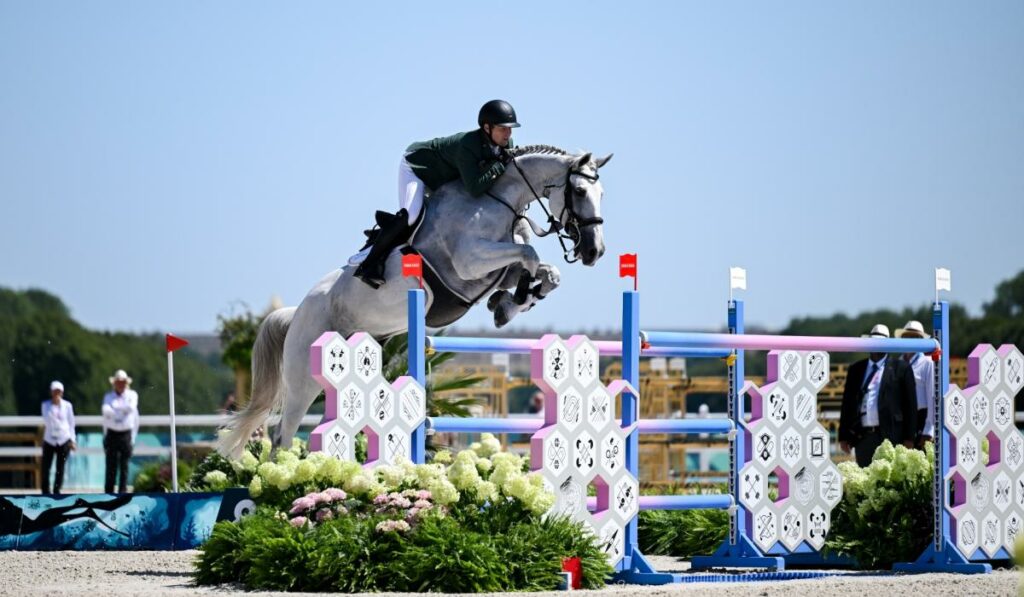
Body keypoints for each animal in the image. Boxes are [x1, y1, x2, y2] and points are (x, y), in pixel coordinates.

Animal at [218, 144, 606, 458]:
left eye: (602, 192)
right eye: (579, 190)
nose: (594, 252)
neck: (497, 201)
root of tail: (295, 313)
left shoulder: (492, 270)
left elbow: (545, 270)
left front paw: (509, 304)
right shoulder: (468, 264)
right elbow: (529, 254)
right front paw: (513, 300)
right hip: (303, 378)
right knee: (281, 435)